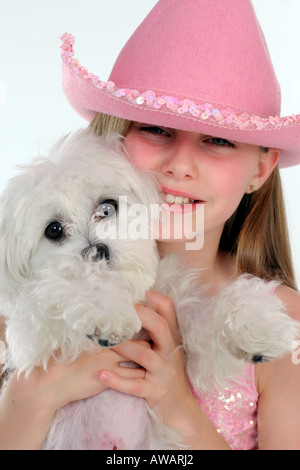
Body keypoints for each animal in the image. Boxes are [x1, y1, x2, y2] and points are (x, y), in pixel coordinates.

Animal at [0, 130, 298, 450]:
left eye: (107, 208)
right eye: (53, 230)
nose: (96, 251)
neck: (130, 293)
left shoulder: (187, 345)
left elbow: (212, 322)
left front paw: (259, 327)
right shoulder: (34, 341)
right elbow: (61, 290)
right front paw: (107, 312)